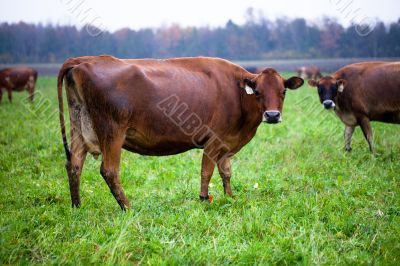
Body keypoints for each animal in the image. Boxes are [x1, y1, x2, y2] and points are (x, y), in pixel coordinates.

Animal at [57, 55, 304, 210]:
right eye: (258, 92)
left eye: (283, 91)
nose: (272, 115)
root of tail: (85, 59)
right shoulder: (214, 140)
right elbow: (207, 172)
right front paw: (203, 200)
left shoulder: (227, 144)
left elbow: (226, 172)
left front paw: (230, 197)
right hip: (111, 131)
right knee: (109, 171)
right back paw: (127, 208)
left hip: (79, 126)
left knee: (74, 164)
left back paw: (77, 206)